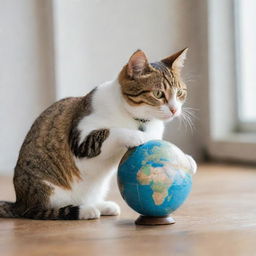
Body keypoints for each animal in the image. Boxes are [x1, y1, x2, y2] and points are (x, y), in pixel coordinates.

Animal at [0, 48, 197, 220]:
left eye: (180, 93)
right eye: (158, 94)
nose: (174, 110)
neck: (137, 120)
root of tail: (20, 202)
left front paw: (186, 159)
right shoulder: (81, 140)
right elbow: (111, 131)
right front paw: (136, 136)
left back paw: (103, 206)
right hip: (46, 189)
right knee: (46, 211)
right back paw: (86, 210)